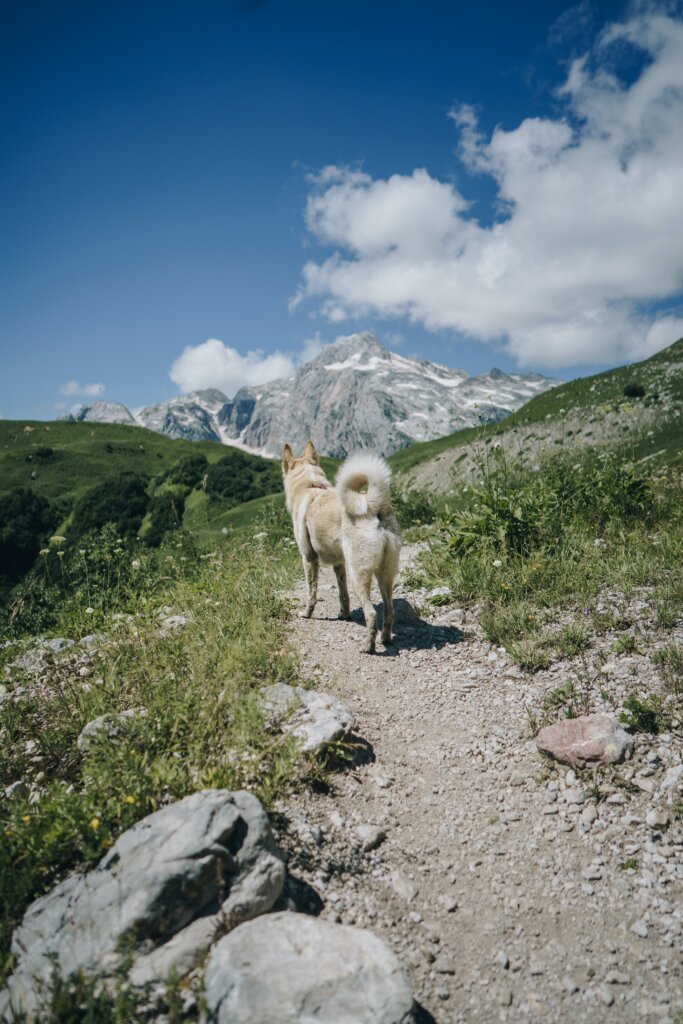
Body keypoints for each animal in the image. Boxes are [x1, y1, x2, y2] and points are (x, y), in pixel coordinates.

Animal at [282, 442, 403, 651]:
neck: (309, 485)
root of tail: (371, 505)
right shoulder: (339, 563)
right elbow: (342, 593)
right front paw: (344, 615)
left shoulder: (308, 558)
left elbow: (311, 593)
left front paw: (306, 614)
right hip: (385, 574)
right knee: (389, 610)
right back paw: (385, 639)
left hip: (358, 574)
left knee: (371, 613)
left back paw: (368, 647)